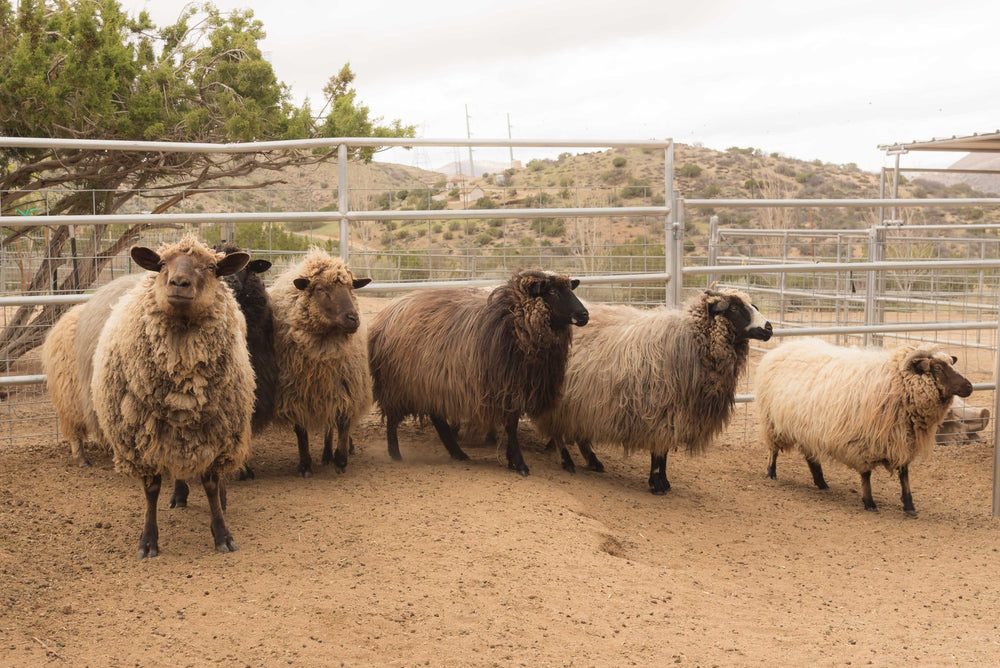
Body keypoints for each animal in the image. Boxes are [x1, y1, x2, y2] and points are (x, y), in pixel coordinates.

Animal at [91, 235, 255, 558]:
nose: (179, 283)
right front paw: (148, 541)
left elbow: (211, 483)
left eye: (211, 267)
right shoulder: (141, 440)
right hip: (172, 433)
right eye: (163, 263)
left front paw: (222, 534)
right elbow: (152, 489)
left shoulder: (215, 433)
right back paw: (179, 495)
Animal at [268, 248, 372, 478]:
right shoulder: (294, 394)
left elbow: (342, 423)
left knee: (331, 423)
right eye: (320, 289)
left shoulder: (345, 386)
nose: (353, 319)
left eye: (351, 287)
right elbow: (301, 431)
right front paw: (305, 465)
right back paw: (325, 455)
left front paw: (341, 459)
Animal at [368, 268, 589, 476]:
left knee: (437, 419)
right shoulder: (505, 389)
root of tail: (388, 312)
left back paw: (457, 453)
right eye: (552, 291)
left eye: (570, 289)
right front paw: (519, 463)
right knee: (393, 419)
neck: (511, 323)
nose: (584, 315)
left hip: (429, 383)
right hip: (397, 384)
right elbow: (511, 427)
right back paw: (395, 453)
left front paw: (512, 459)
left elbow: (512, 425)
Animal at [534, 289, 772, 494]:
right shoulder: (661, 411)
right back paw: (567, 461)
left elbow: (663, 452)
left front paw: (664, 482)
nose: (769, 327)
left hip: (583, 401)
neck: (691, 340)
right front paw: (657, 484)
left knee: (578, 431)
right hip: (561, 400)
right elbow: (659, 452)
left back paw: (593, 462)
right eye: (734, 308)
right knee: (558, 432)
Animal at [757, 338, 973, 516]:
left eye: (950, 363)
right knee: (773, 450)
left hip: (806, 427)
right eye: (937, 367)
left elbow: (904, 474)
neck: (896, 382)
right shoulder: (863, 442)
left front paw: (909, 505)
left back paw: (821, 482)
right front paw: (869, 503)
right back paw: (771, 473)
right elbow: (866, 474)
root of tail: (782, 347)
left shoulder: (902, 438)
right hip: (772, 421)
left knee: (811, 457)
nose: (969, 387)